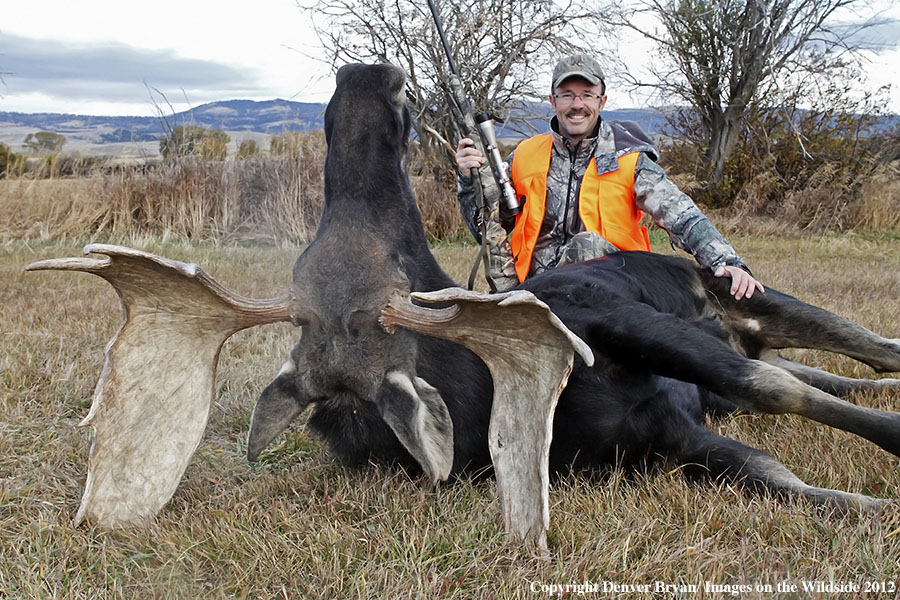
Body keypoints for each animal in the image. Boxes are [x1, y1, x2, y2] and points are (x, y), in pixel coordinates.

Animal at [28, 62, 900, 548]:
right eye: (397, 256)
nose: (360, 78)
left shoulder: (620, 322)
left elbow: (777, 392)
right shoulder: (668, 439)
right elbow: (781, 463)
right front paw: (873, 500)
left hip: (741, 294)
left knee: (851, 345)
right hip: (731, 341)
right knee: (807, 372)